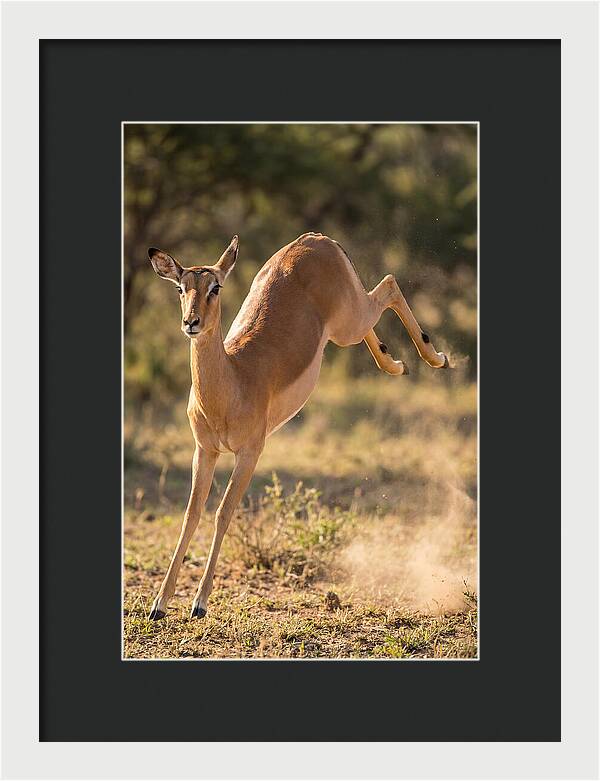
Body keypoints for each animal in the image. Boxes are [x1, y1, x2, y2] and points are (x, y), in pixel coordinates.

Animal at [147, 232, 448, 620]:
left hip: (349, 322)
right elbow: (190, 515)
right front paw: (159, 604)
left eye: (215, 287)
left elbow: (223, 512)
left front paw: (199, 603)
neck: (233, 381)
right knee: (379, 307)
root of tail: (315, 239)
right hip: (346, 325)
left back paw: (436, 358)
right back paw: (395, 364)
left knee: (390, 284)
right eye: (180, 288)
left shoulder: (250, 453)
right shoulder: (205, 451)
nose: (191, 323)